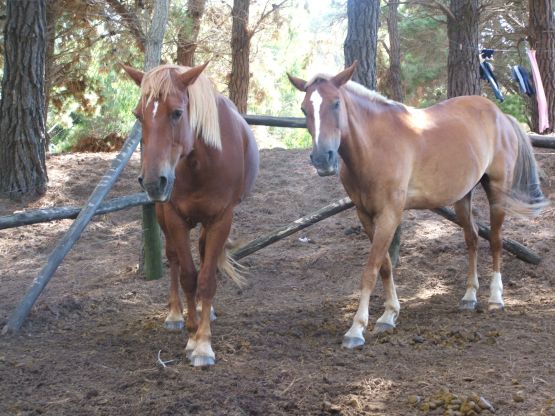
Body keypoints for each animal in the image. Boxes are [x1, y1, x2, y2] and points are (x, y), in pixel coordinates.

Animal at [124, 63, 258, 366]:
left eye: (176, 113)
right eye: (138, 115)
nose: (153, 182)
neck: (202, 163)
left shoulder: (221, 219)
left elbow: (206, 279)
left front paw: (203, 344)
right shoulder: (174, 217)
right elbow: (187, 274)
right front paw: (192, 332)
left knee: (203, 252)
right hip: (163, 214)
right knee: (173, 258)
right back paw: (176, 314)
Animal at [288, 61, 548, 348]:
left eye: (336, 103)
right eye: (304, 108)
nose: (322, 159)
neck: (375, 145)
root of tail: (501, 116)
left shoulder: (389, 215)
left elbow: (370, 270)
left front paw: (356, 329)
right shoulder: (365, 215)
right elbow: (385, 266)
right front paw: (389, 315)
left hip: (497, 193)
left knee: (496, 241)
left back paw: (495, 298)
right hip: (462, 197)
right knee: (472, 238)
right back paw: (469, 297)